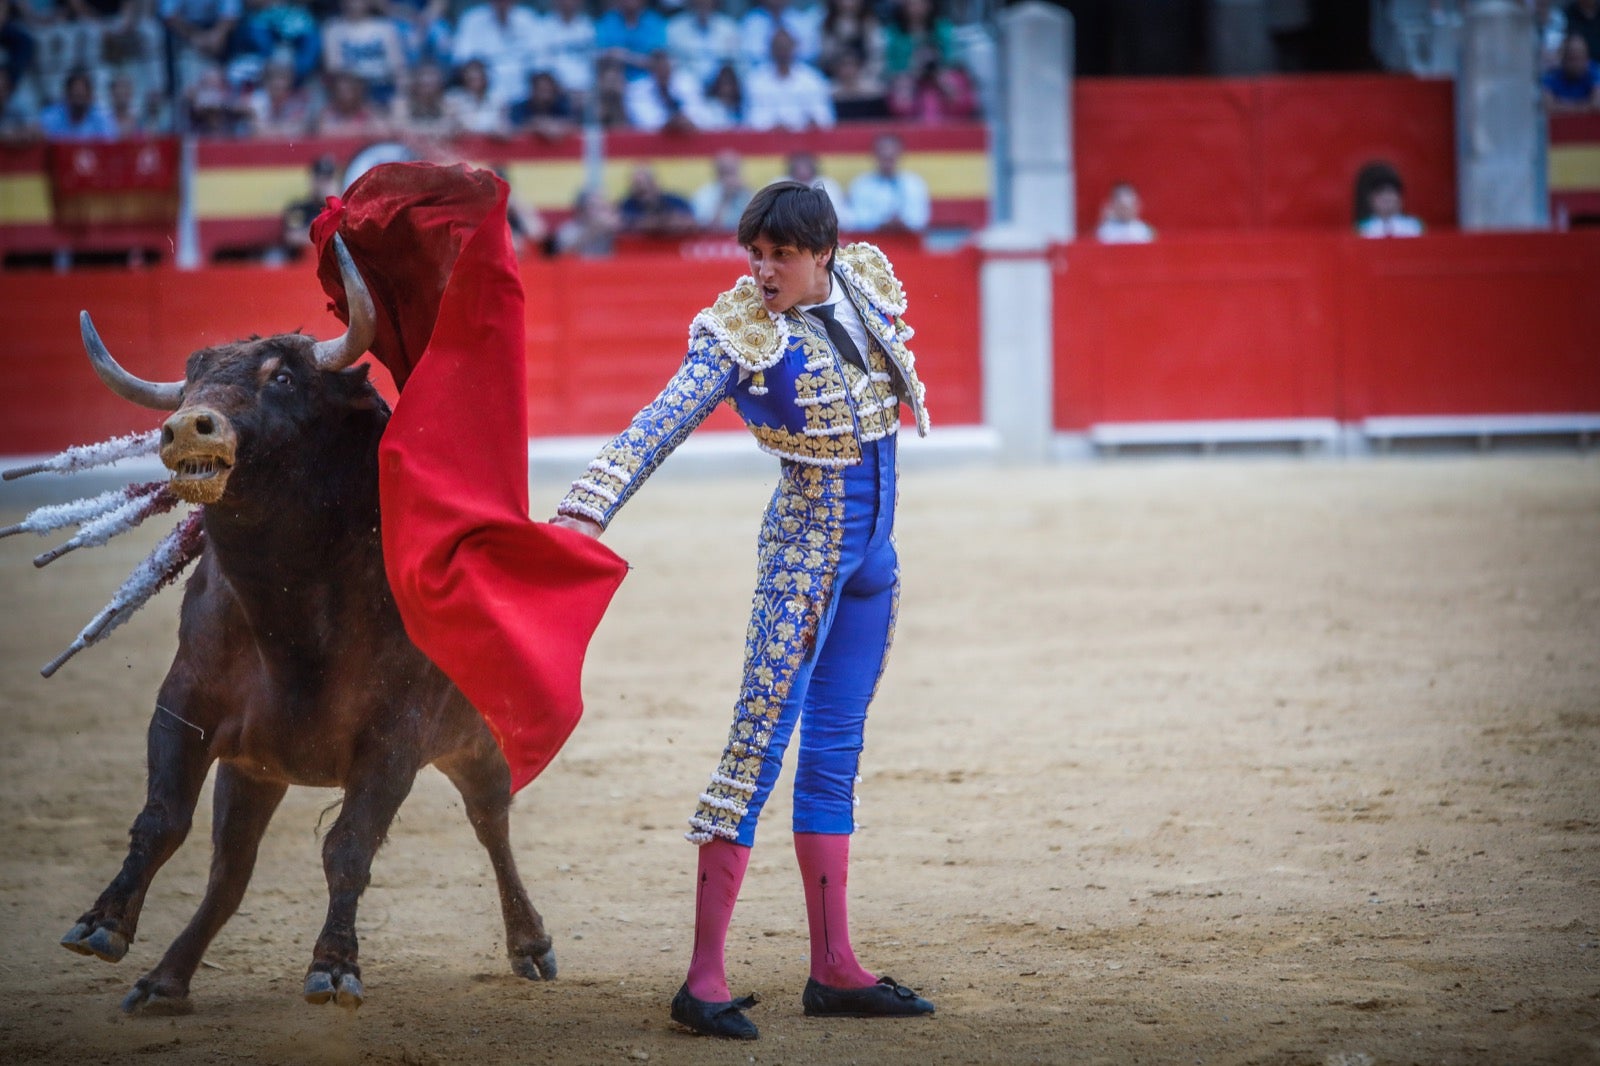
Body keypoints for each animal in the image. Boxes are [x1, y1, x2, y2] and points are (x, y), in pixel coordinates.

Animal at [23, 240, 563, 1011]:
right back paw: (164, 981)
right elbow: (162, 819)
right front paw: (101, 924)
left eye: (280, 377)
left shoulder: (394, 737)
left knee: (491, 822)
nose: (186, 425)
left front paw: (335, 968)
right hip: (254, 770)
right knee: (230, 869)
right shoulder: (185, 705)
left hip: (474, 742)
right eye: (187, 384)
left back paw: (531, 944)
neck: (292, 607)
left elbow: (349, 846)